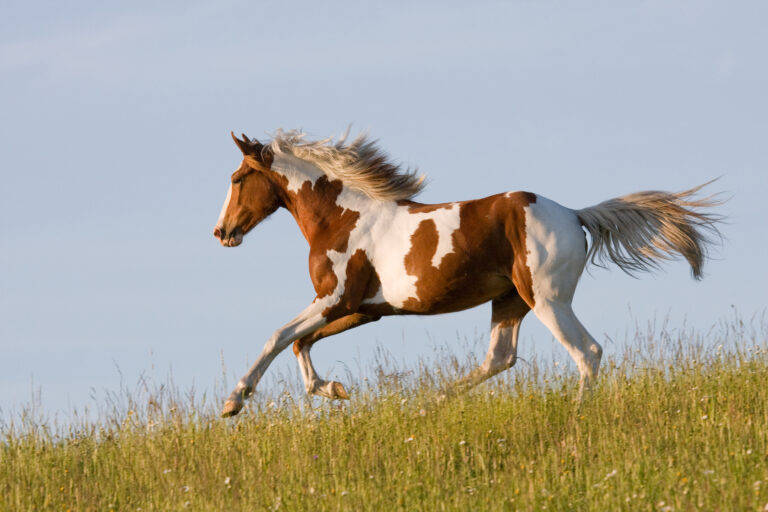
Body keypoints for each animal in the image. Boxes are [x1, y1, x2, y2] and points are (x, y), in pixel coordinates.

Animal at [214, 129, 722, 417]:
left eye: (238, 179)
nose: (221, 232)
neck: (344, 218)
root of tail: (575, 215)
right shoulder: (363, 309)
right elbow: (301, 342)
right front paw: (335, 390)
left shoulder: (334, 299)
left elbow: (278, 336)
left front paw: (234, 401)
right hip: (510, 300)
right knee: (499, 359)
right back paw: (426, 405)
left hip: (547, 300)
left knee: (587, 352)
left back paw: (577, 417)